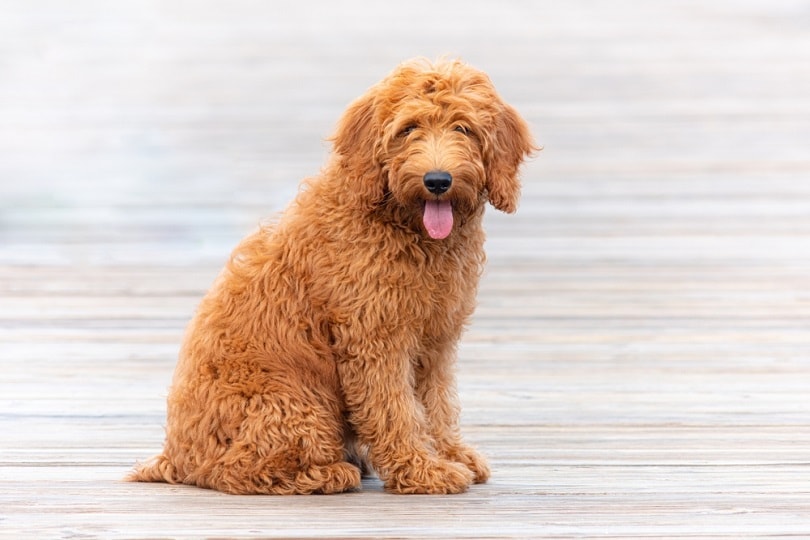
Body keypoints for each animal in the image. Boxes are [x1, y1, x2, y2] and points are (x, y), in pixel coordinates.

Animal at [128, 58, 536, 494]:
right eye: (409, 128)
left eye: (463, 128)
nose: (438, 181)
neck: (401, 226)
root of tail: (176, 456)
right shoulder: (375, 337)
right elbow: (395, 408)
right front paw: (421, 468)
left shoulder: (436, 339)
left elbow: (435, 403)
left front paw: (449, 454)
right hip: (294, 404)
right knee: (237, 469)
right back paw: (330, 472)